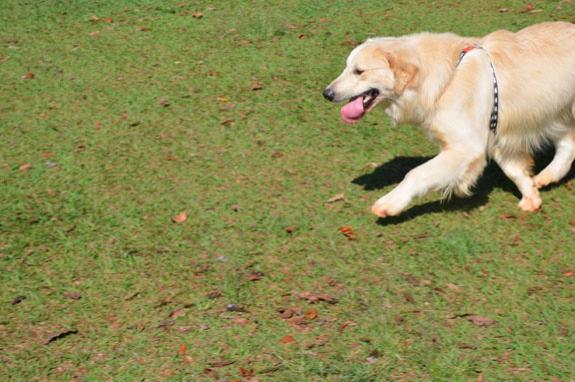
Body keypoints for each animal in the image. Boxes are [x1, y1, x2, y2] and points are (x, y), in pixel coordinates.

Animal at [324, 21, 575, 218]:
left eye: (359, 71)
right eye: (347, 67)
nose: (326, 93)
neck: (446, 80)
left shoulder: (466, 147)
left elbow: (416, 173)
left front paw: (390, 203)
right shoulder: (494, 136)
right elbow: (514, 170)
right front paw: (531, 196)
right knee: (567, 144)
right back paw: (548, 176)